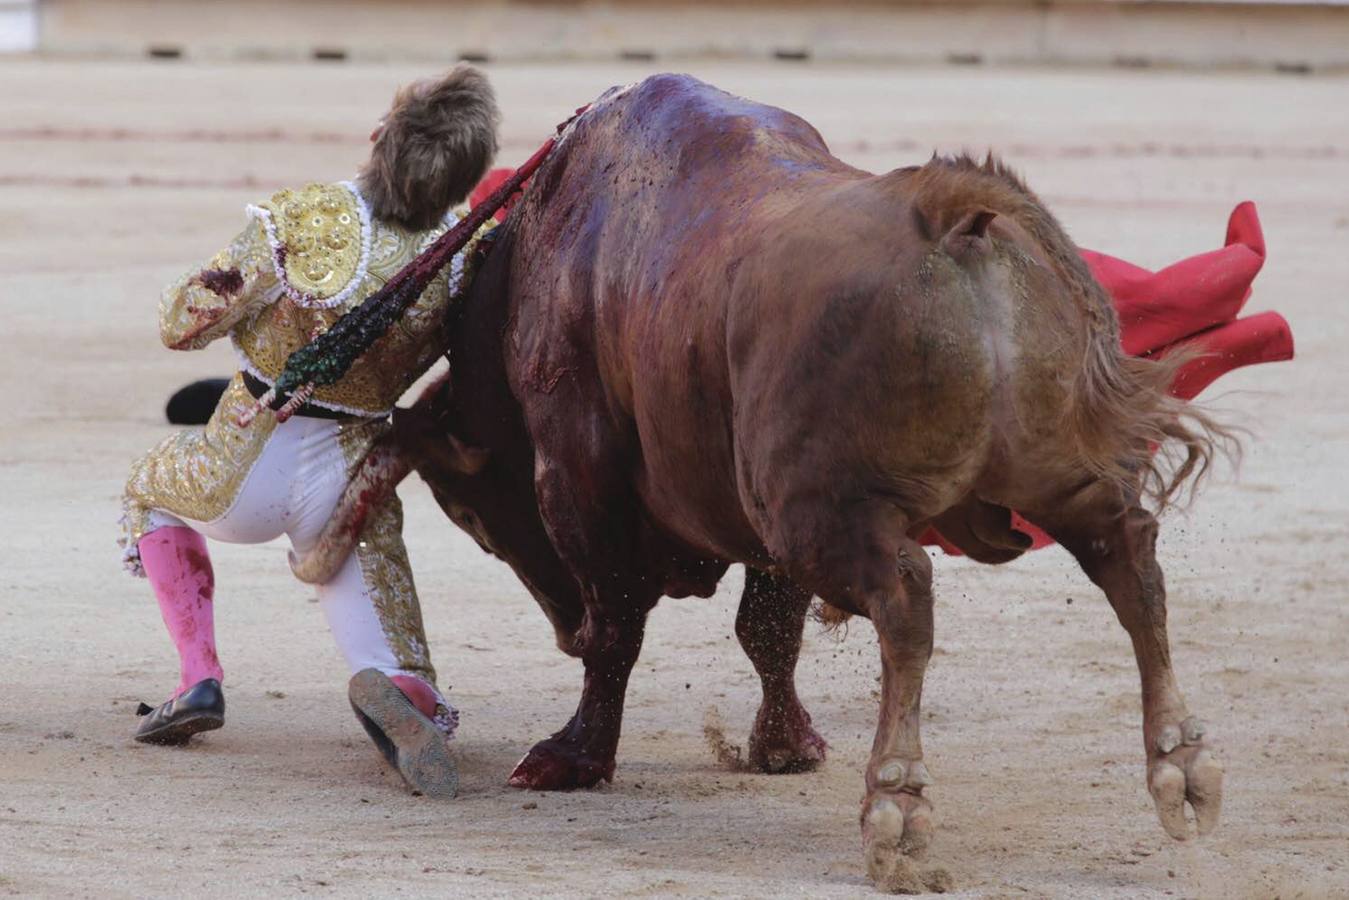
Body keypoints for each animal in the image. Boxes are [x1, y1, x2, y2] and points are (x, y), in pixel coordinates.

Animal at [298, 75, 1235, 885]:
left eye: (470, 516)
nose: (560, 630)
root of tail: (950, 217)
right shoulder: (746, 517)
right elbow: (769, 631)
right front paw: (786, 746)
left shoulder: (577, 473)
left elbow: (621, 627)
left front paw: (574, 755)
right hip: (1050, 475)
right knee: (1128, 559)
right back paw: (1180, 767)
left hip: (813, 510)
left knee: (907, 596)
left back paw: (895, 804)